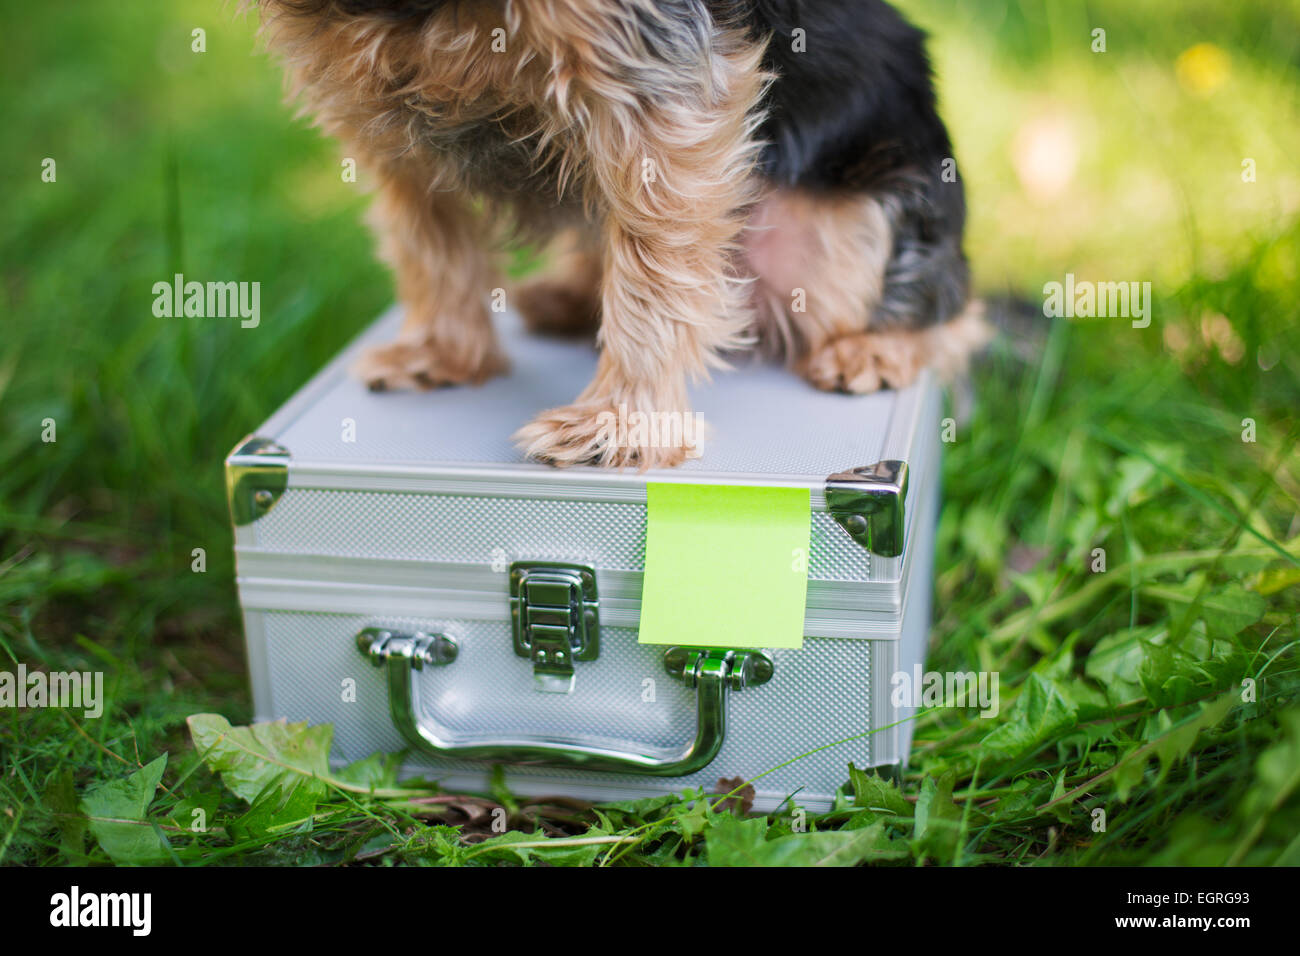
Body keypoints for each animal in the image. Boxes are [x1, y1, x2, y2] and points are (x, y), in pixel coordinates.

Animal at [253, 0, 987, 468]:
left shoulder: (655, 74)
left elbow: (654, 264)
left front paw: (620, 423)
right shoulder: (378, 99)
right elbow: (429, 236)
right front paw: (441, 351)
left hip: (843, 229)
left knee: (953, 314)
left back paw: (877, 349)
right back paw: (566, 299)